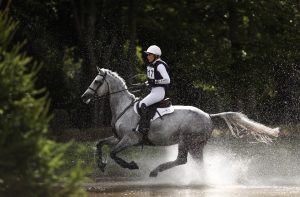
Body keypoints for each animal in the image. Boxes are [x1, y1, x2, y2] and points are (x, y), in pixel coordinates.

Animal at [81, 67, 280, 177]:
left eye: (97, 81)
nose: (84, 97)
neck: (124, 107)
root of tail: (209, 115)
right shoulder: (118, 137)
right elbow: (100, 143)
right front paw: (100, 164)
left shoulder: (130, 139)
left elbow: (114, 153)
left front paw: (130, 165)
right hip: (196, 145)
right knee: (196, 163)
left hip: (186, 140)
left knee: (182, 160)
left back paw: (156, 171)